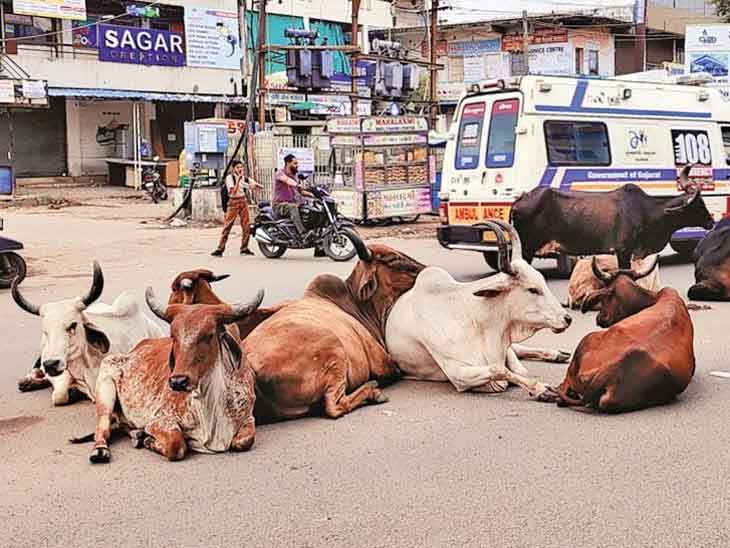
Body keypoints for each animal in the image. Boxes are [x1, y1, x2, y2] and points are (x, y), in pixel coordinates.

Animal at [80, 288, 264, 463]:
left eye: (209, 335)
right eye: (173, 336)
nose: (178, 381)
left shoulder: (248, 418)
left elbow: (243, 441)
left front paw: (145, 438)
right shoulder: (158, 420)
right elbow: (176, 445)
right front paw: (149, 441)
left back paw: (137, 435)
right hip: (105, 390)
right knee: (102, 428)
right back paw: (102, 449)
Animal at [385, 220, 572, 399]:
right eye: (532, 289)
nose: (567, 319)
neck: (476, 321)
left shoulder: (504, 348)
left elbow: (519, 369)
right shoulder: (458, 374)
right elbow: (499, 370)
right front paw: (541, 389)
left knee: (519, 349)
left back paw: (557, 353)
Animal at [511, 165, 714, 269]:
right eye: (699, 204)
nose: (711, 222)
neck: (647, 211)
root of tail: (522, 198)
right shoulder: (623, 251)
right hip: (528, 248)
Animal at [556, 256, 695, 413]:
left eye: (606, 298)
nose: (599, 318)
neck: (654, 298)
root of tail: (609, 371)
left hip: (585, 342)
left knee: (563, 390)